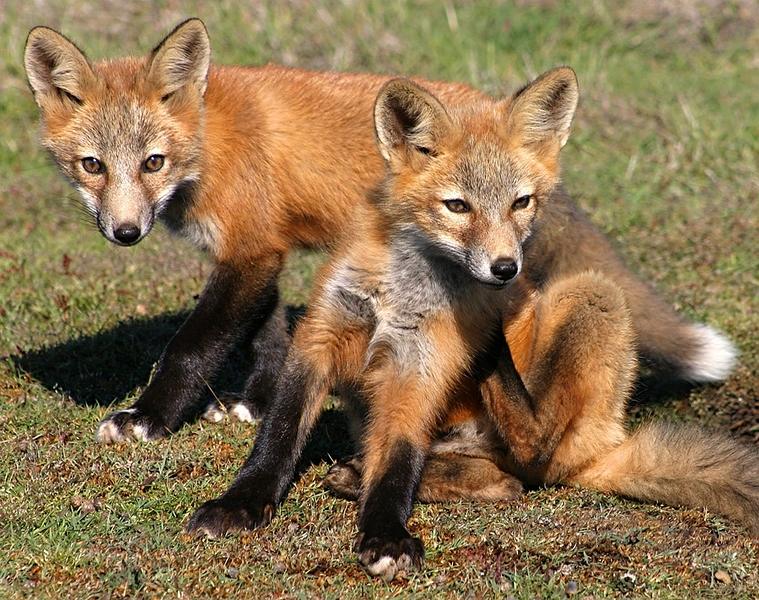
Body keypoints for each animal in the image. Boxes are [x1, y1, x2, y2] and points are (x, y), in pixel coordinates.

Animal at [25, 18, 736, 446]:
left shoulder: (249, 250)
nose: (124, 232)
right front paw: (259, 404)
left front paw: (147, 418)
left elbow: (190, 345)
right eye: (92, 165)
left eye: (153, 163)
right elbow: (270, 333)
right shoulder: (265, 252)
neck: (209, 146)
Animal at [186, 68, 759, 580]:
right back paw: (361, 472)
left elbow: (396, 466)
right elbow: (280, 434)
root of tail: (607, 441)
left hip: (589, 294)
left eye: (521, 202)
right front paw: (240, 506)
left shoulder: (420, 365)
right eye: (457, 206)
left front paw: (385, 535)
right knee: (498, 481)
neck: (401, 292)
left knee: (534, 447)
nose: (505, 270)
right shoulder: (322, 336)